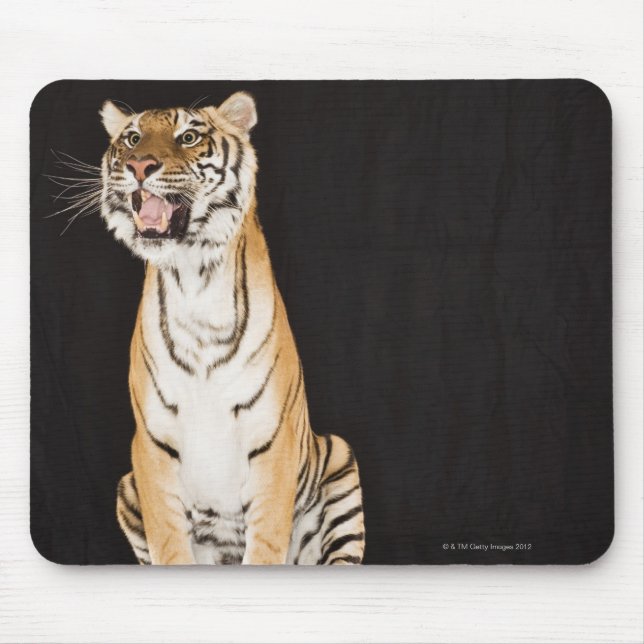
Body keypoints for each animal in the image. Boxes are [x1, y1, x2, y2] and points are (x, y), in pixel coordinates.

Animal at [98, 91, 365, 565]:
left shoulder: (273, 438)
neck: (194, 277)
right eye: (131, 138)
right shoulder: (151, 444)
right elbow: (169, 543)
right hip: (126, 487)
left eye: (188, 136)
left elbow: (267, 542)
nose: (139, 166)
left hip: (339, 460)